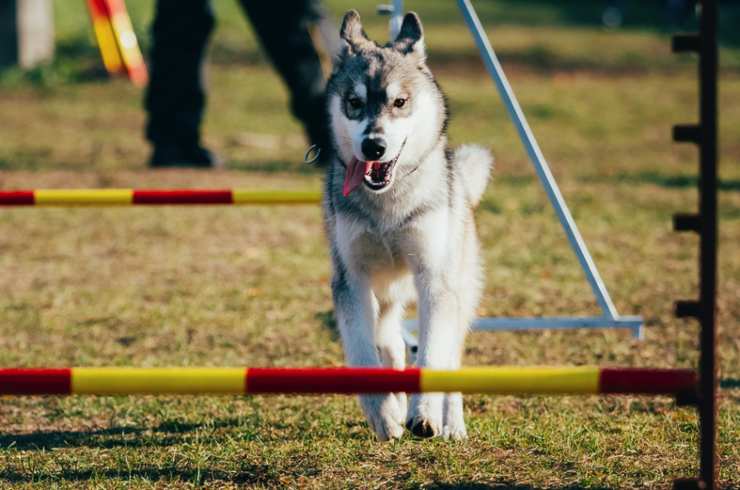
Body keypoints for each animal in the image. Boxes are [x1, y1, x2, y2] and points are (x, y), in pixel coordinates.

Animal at [322, 10, 492, 440]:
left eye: (400, 102)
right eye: (354, 103)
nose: (373, 145)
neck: (387, 207)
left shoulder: (435, 280)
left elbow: (431, 356)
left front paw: (425, 415)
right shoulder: (352, 282)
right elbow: (364, 354)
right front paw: (386, 415)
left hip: (458, 290)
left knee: (450, 356)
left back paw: (452, 424)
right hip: (383, 298)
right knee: (391, 344)